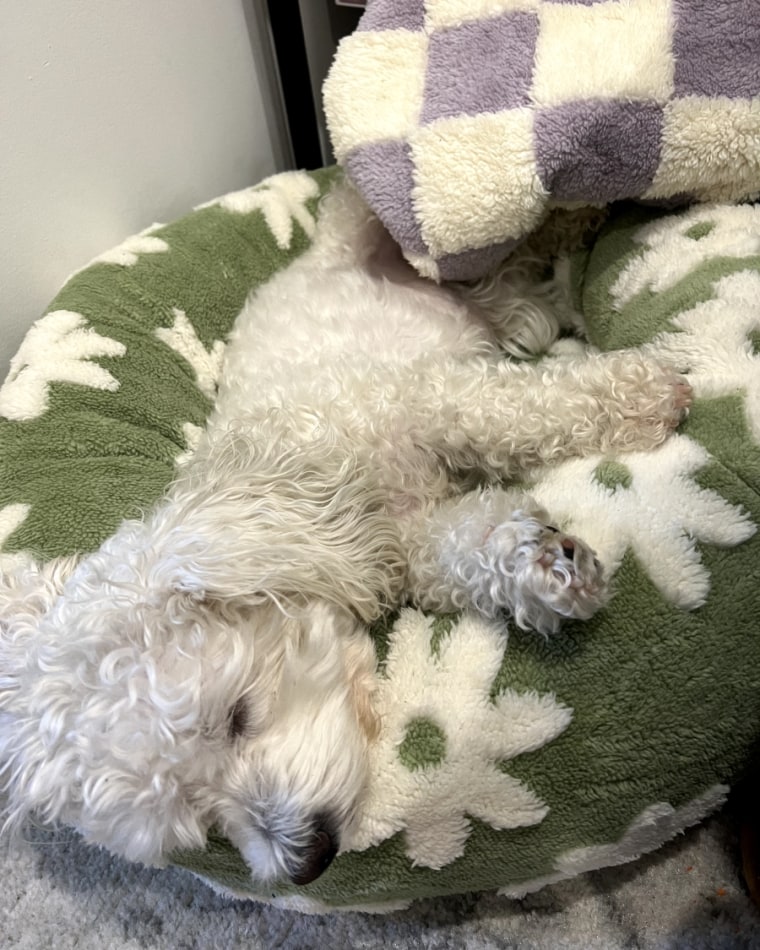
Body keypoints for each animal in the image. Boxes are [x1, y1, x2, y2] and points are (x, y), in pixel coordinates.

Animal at [0, 182, 692, 888]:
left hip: (376, 227)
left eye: (237, 716)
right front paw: (545, 566)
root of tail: (320, 253)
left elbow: (520, 413)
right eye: (199, 818)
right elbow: (467, 548)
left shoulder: (430, 400)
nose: (307, 861)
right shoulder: (411, 539)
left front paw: (645, 395)